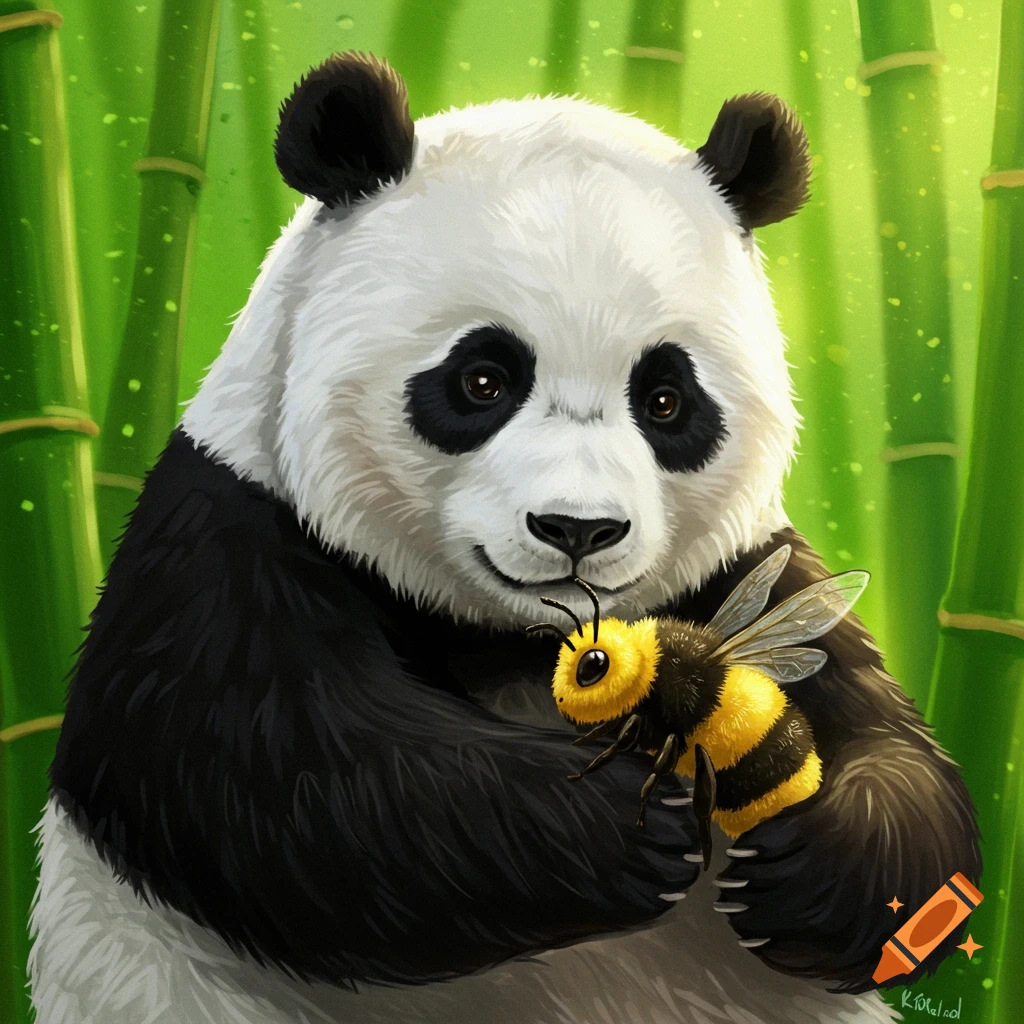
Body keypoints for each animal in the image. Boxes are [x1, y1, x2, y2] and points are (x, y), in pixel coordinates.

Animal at [29, 51, 980, 1024]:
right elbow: (283, 778)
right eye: (482, 379)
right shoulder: (223, 539)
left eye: (666, 399)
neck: (521, 643)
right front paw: (624, 830)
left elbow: (888, 736)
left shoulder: (743, 573)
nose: (578, 528)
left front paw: (812, 868)